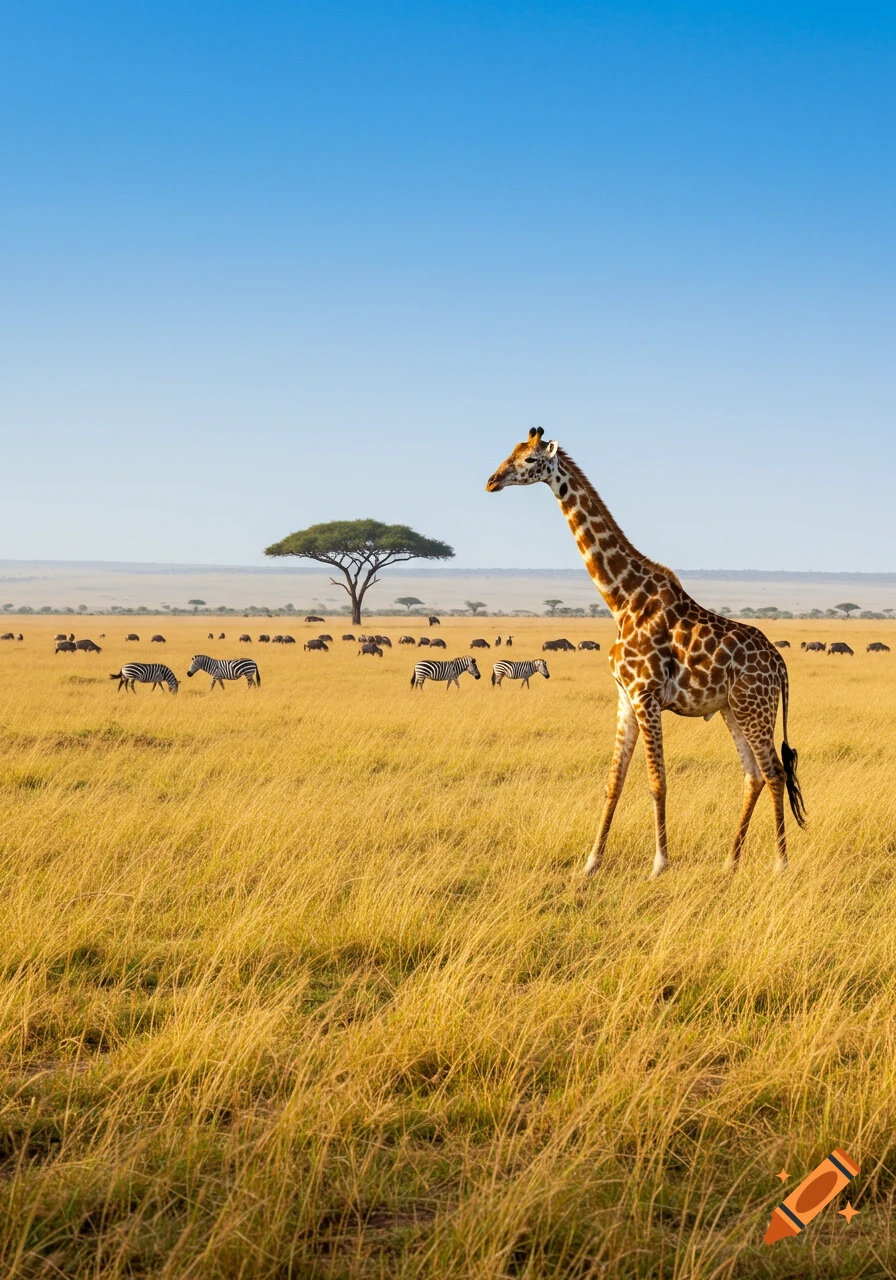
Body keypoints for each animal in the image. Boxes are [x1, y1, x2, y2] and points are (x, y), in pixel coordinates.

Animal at [486, 428, 806, 879]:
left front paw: (659, 864)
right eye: (510, 452)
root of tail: (779, 664)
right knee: (754, 775)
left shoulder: (646, 695)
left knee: (774, 772)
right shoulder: (625, 697)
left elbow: (657, 782)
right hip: (732, 708)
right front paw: (590, 864)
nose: (492, 481)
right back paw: (730, 862)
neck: (621, 599)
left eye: (531, 460)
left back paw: (779, 863)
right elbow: (613, 782)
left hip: (754, 708)